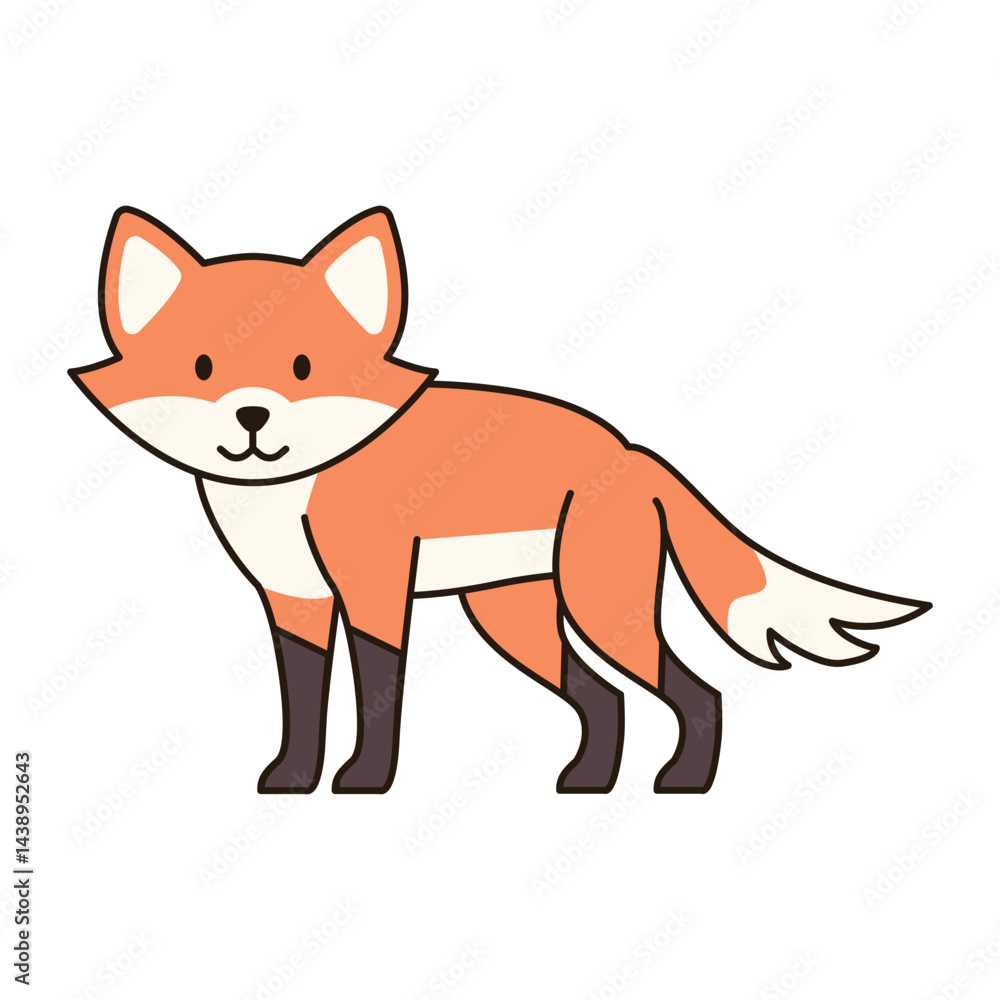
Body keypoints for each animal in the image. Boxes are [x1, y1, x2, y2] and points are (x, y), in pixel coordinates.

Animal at [70, 206, 930, 796]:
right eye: (202, 368)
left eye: (304, 367)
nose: (252, 416)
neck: (294, 492)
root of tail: (632, 453)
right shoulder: (295, 602)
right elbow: (303, 702)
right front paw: (292, 780)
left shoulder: (375, 589)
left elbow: (377, 692)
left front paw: (367, 780)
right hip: (514, 618)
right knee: (604, 699)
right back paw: (588, 783)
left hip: (599, 608)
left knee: (695, 690)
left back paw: (684, 781)